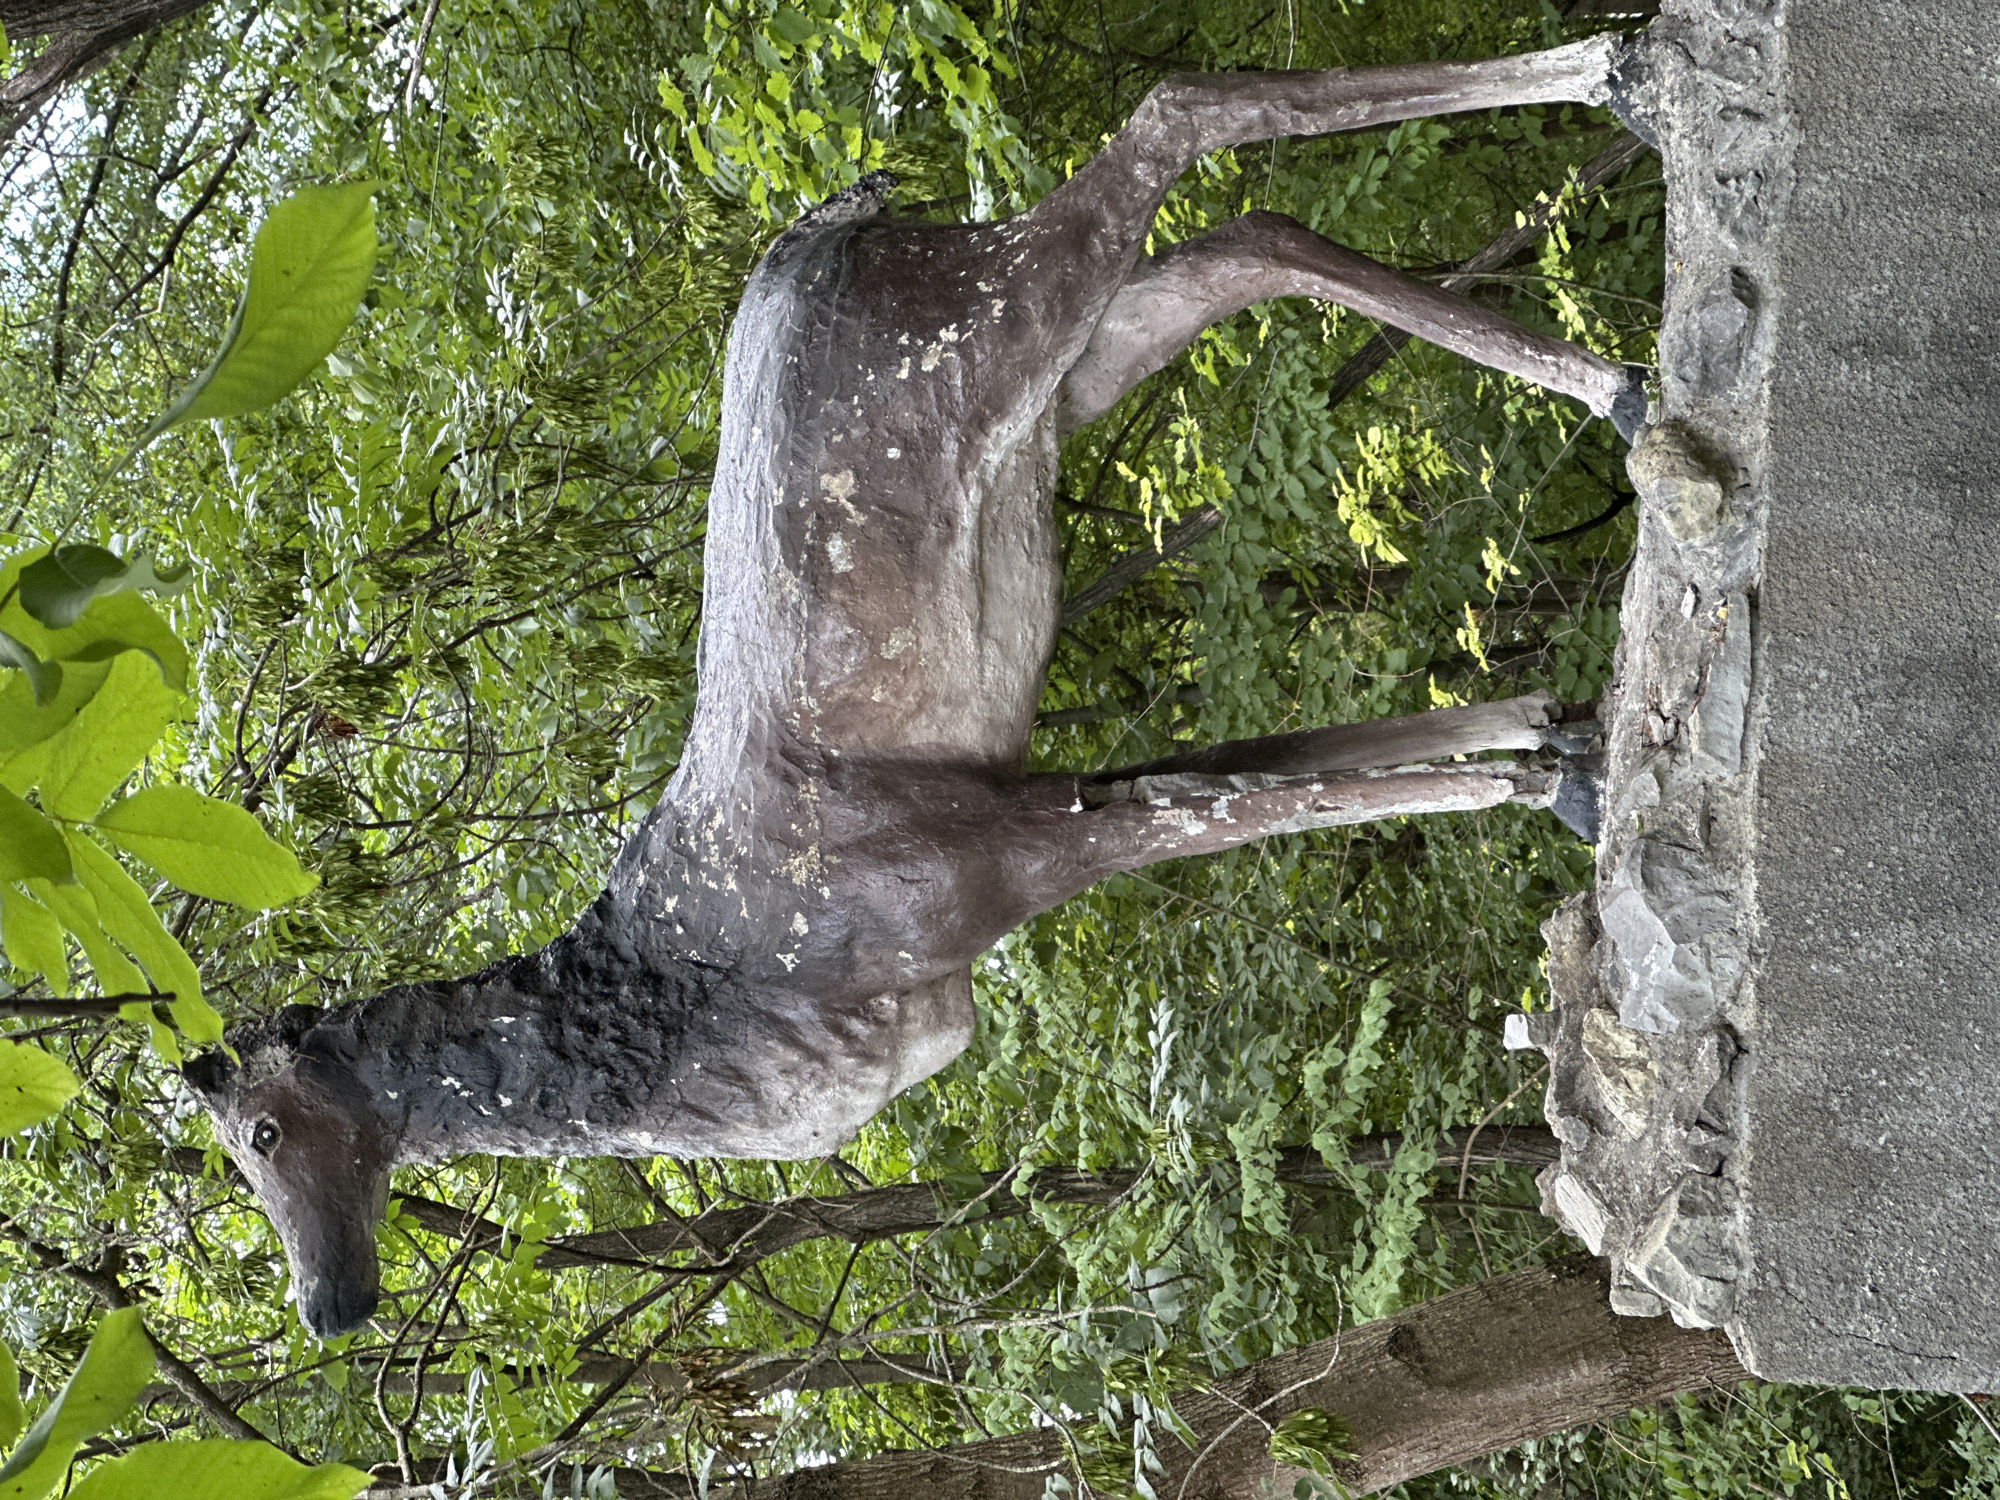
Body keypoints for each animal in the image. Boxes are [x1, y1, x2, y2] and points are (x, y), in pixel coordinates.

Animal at [186, 33, 1655, 1338]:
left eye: (258, 1135)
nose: (329, 1306)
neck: (676, 1028)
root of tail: (850, 218)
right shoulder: (1035, 788)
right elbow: (1281, 765)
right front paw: (1559, 734)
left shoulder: (987, 856)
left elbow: (1241, 807)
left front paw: (1560, 772)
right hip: (1061, 378)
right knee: (1251, 233)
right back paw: (1616, 207)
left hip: (994, 328)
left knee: (1182, 113)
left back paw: (1621, 184)